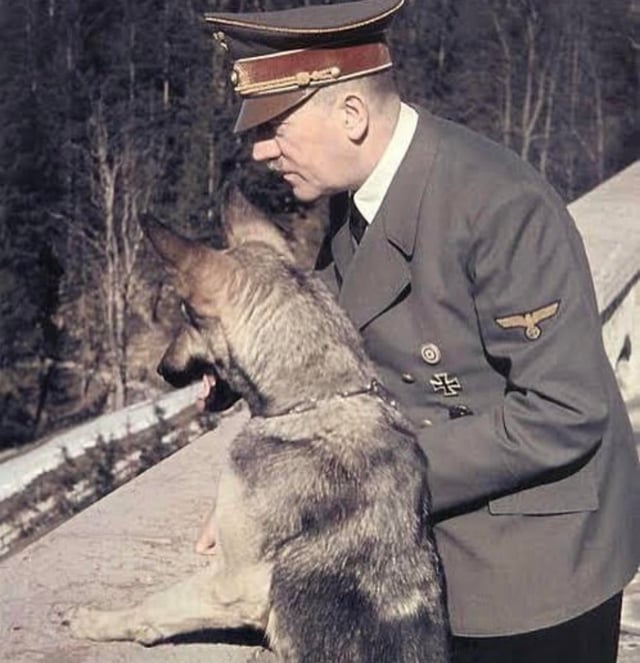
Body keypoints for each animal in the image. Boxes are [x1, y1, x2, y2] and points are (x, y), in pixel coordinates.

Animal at [70, 202, 450, 662]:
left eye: (187, 316)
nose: (161, 369)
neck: (320, 399)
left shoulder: (234, 582)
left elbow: (155, 605)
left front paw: (99, 621)